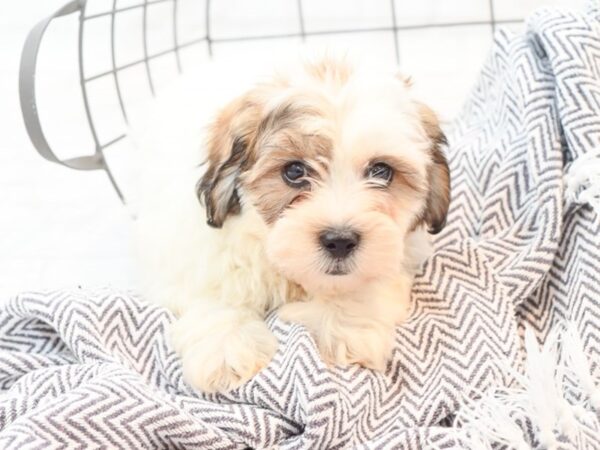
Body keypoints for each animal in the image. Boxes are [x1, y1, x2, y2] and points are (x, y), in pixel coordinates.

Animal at [134, 57, 448, 394]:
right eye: (295, 171)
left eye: (381, 171)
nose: (340, 241)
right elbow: (214, 293)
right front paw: (226, 347)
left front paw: (346, 324)